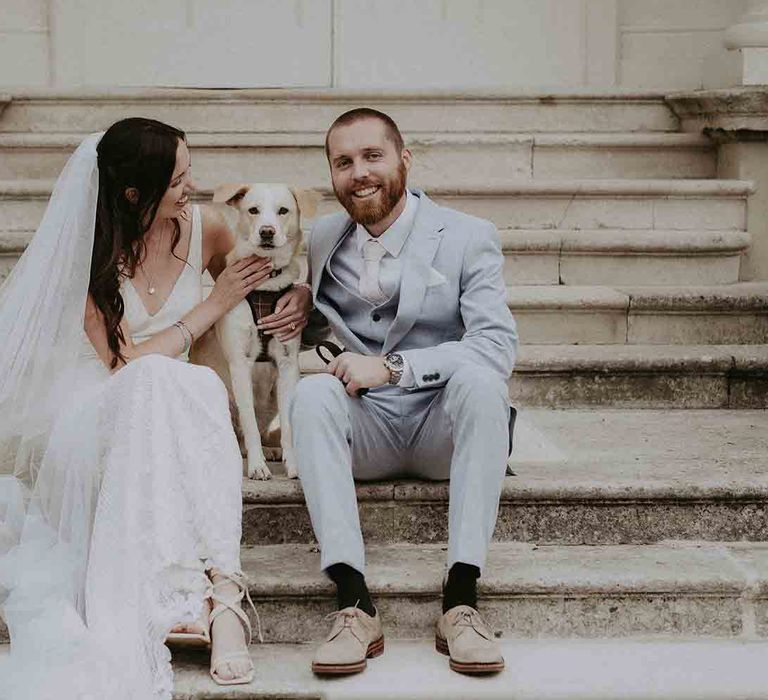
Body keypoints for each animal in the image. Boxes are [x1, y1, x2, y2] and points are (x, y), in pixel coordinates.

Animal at [204, 183, 318, 478]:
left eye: (283, 211)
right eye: (253, 210)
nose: (267, 231)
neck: (266, 284)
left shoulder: (288, 365)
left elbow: (287, 425)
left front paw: (293, 464)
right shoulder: (239, 364)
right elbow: (250, 424)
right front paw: (257, 466)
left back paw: (271, 451)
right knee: (241, 434)